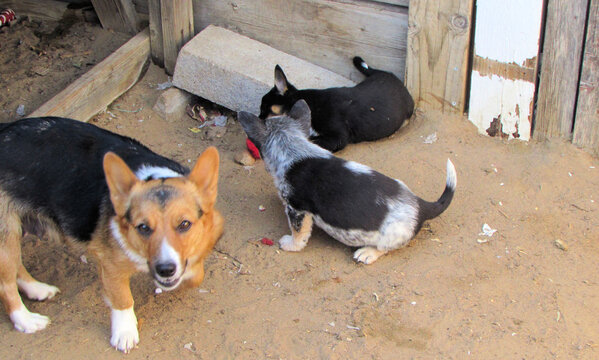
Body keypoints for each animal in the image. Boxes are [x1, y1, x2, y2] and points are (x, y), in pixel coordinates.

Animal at [0, 117, 224, 352]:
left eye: (184, 224)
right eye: (143, 227)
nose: (165, 270)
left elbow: (196, 275)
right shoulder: (110, 265)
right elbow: (122, 299)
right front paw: (124, 333)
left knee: (17, 267)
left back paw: (38, 289)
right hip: (6, 237)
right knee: (6, 285)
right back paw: (26, 320)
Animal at [237, 101, 458, 264]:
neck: (291, 147)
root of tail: (422, 205)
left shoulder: (298, 210)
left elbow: (298, 233)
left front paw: (290, 244)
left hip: (391, 235)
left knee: (384, 248)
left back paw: (367, 253)